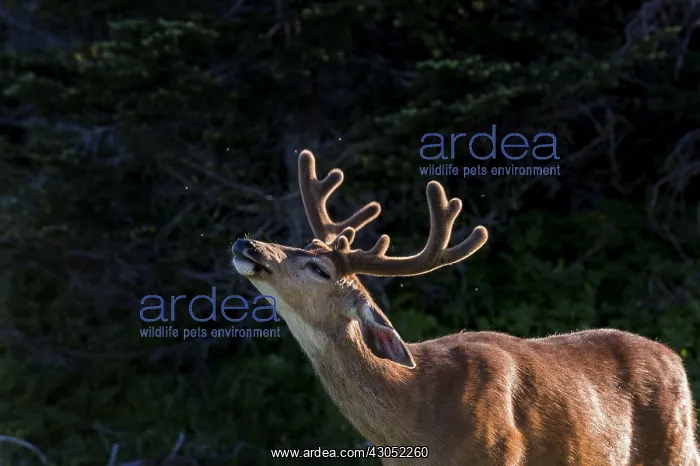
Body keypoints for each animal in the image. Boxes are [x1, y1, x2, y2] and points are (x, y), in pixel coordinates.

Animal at [231, 149, 700, 466]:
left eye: (320, 267)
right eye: (306, 245)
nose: (246, 243)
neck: (416, 423)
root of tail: (676, 360)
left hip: (678, 450)